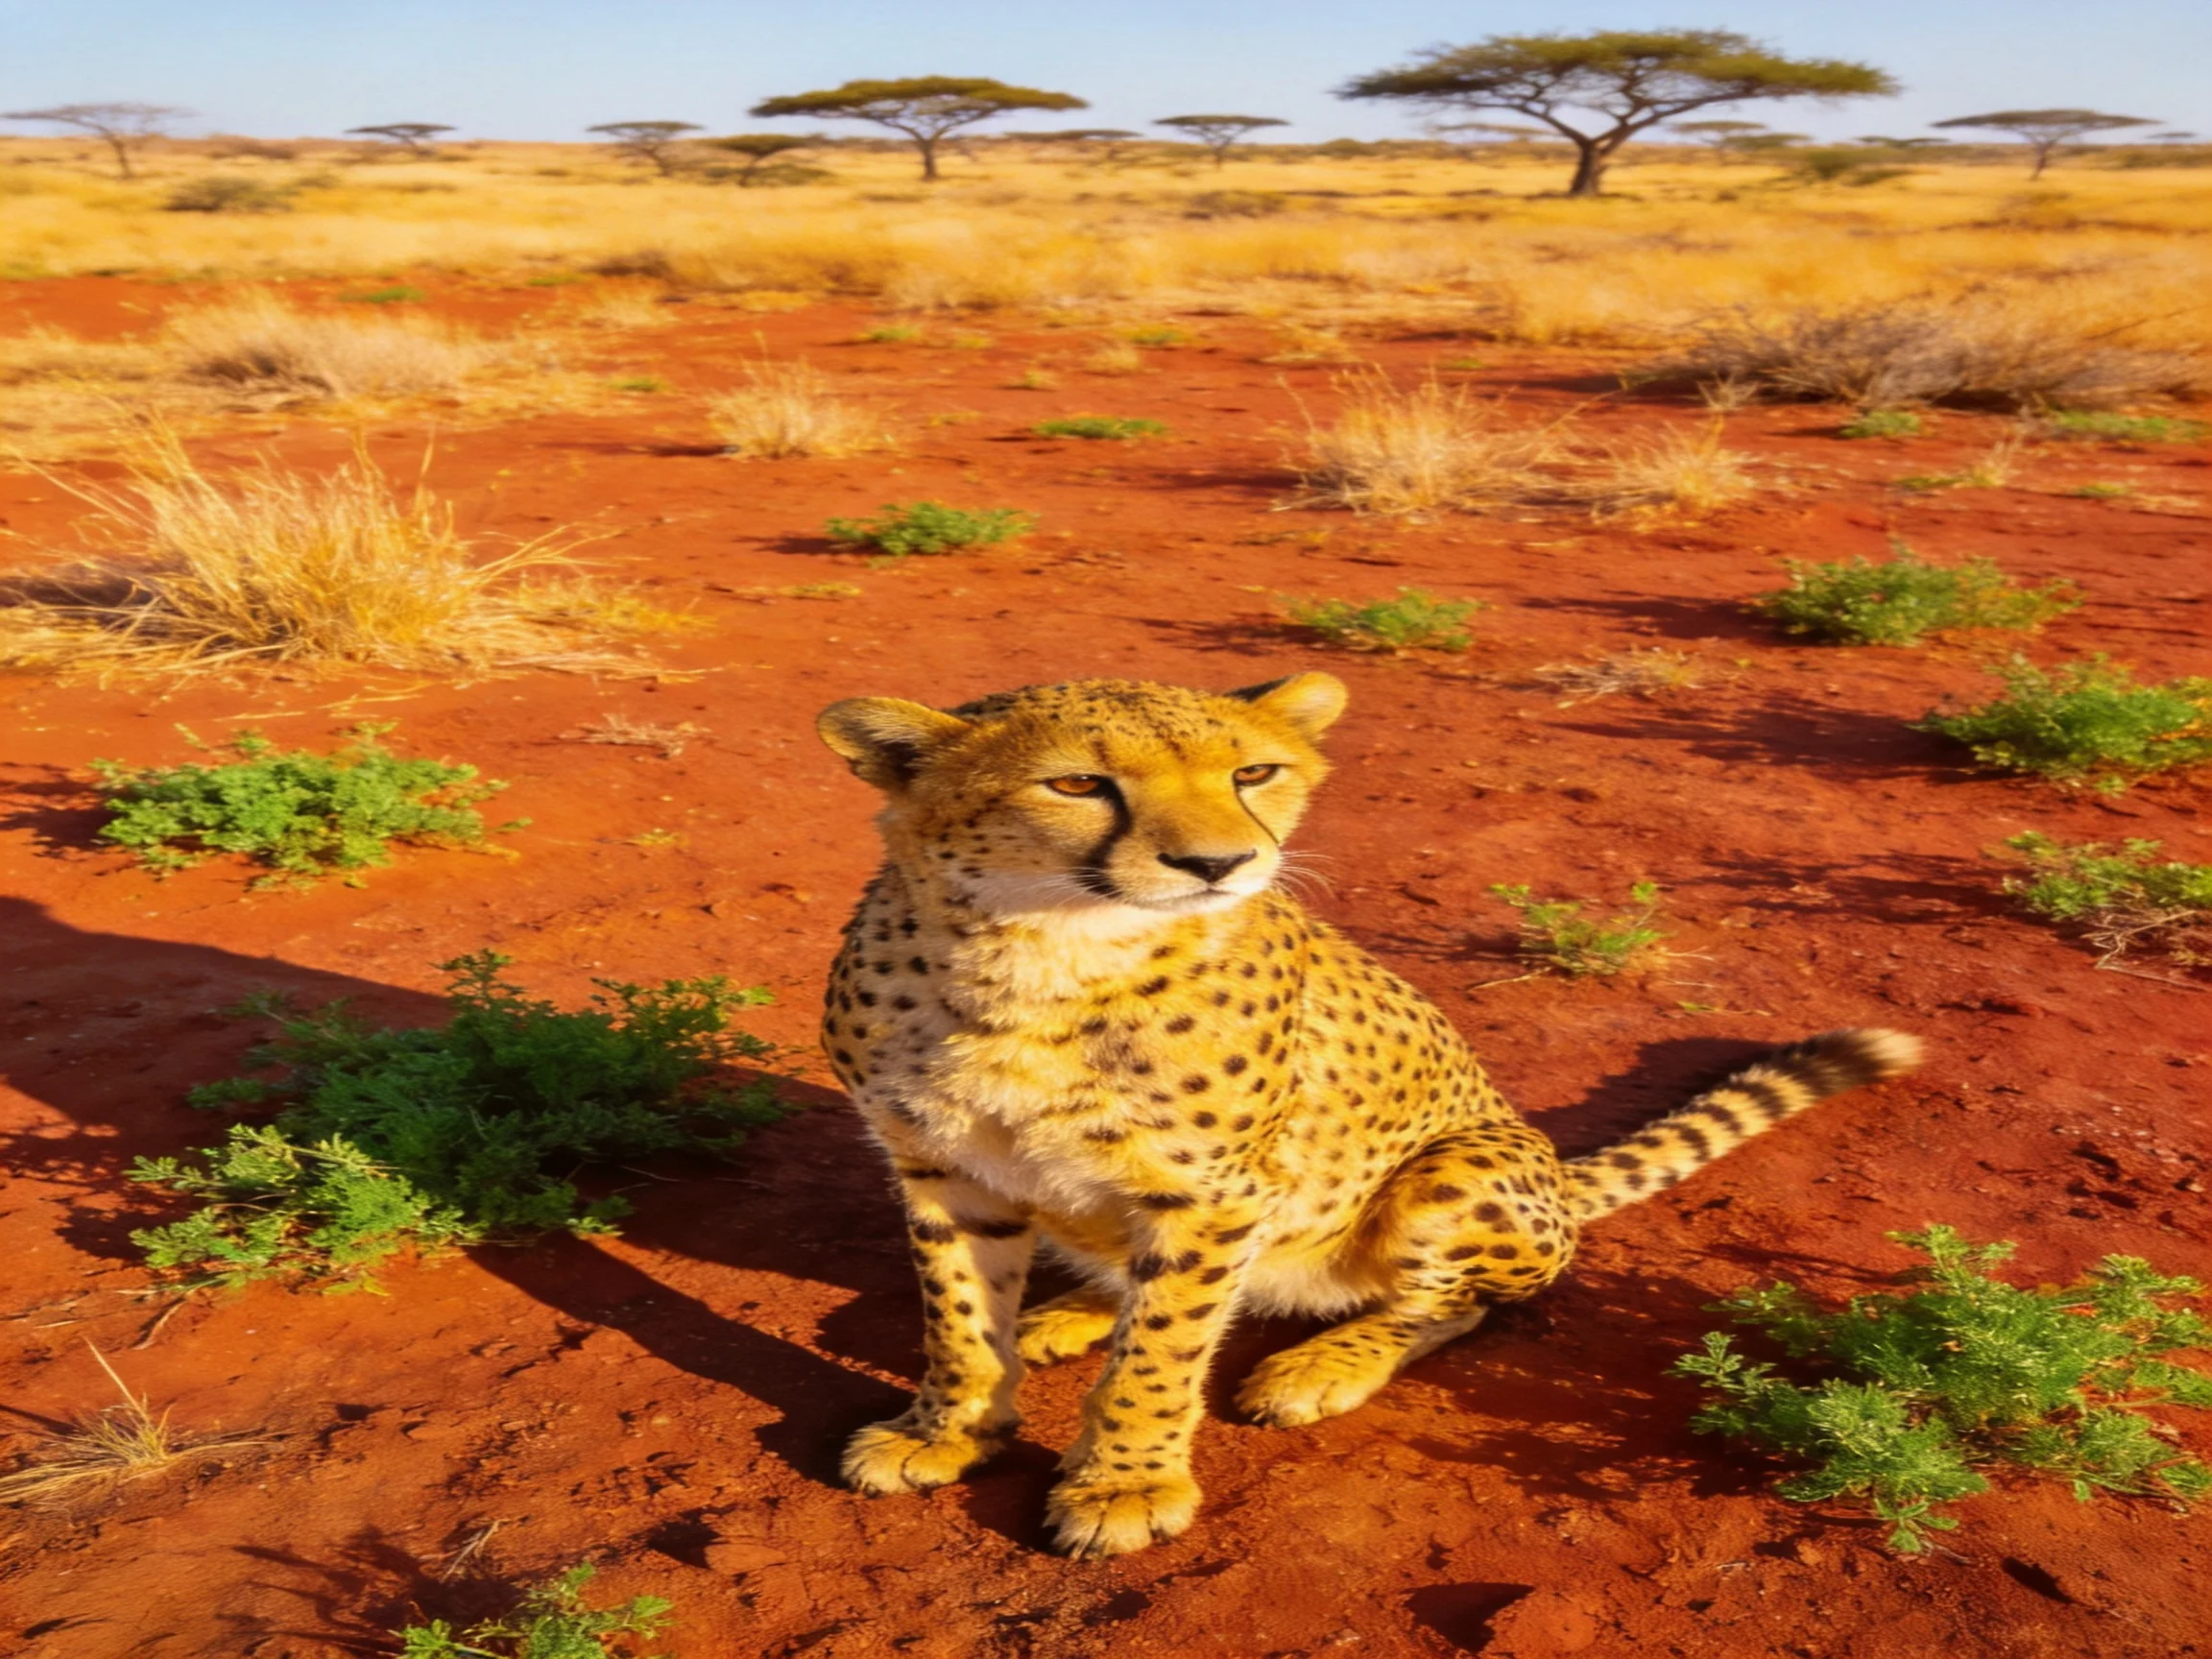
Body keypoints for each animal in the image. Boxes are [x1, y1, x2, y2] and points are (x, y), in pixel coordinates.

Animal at [814, 670, 1923, 1558]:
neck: (1038, 952)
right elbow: (961, 1318)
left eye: (1254, 774)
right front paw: (948, 1431)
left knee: (1451, 1305)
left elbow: (1164, 1350)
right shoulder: (943, 1168)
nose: (1218, 864)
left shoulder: (1216, 1196)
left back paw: (1319, 1362)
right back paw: (1074, 1312)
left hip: (1460, 1170)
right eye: (1079, 784)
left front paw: (1125, 1481)